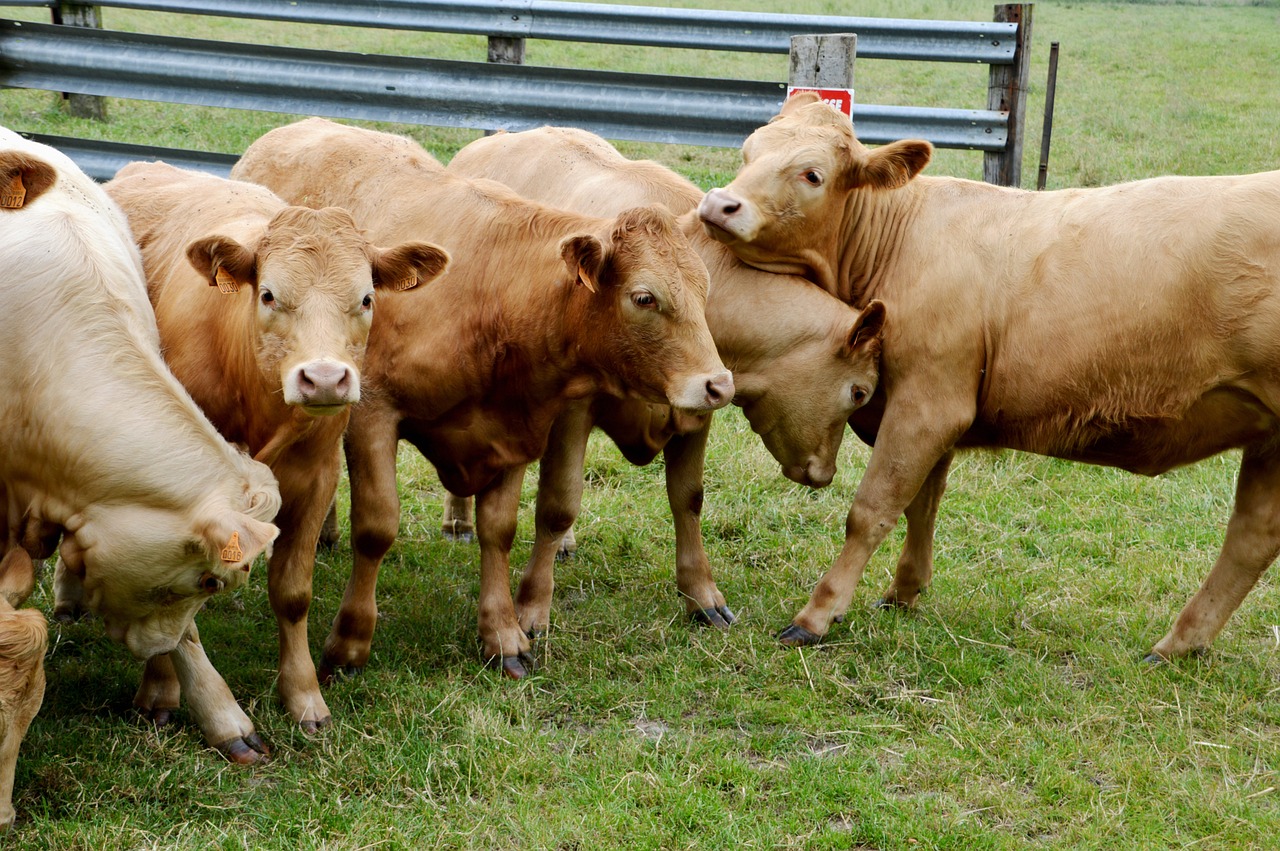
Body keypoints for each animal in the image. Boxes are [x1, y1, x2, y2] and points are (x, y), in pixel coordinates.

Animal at [103, 162, 455, 752]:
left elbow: (293, 594)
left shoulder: (315, 479)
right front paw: (161, 692)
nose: (325, 378)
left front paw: (304, 697)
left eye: (366, 299)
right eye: (268, 295)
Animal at [230, 117, 732, 675]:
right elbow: (377, 528)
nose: (718, 384)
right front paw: (350, 643)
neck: (490, 296)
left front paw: (503, 634)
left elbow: (502, 529)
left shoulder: (515, 428)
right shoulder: (373, 414)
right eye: (644, 297)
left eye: (706, 288)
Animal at [445, 126, 885, 639]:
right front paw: (533, 609)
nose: (824, 473)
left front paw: (702, 595)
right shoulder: (572, 413)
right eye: (859, 392)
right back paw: (458, 520)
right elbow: (557, 505)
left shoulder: (701, 405)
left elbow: (688, 499)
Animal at [701, 94, 1280, 665]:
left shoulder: (930, 401)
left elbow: (873, 508)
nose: (717, 205)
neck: (899, 241)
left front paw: (817, 616)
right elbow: (922, 503)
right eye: (748, 151)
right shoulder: (928, 409)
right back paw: (1179, 644)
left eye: (812, 174)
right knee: (1252, 537)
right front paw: (904, 593)